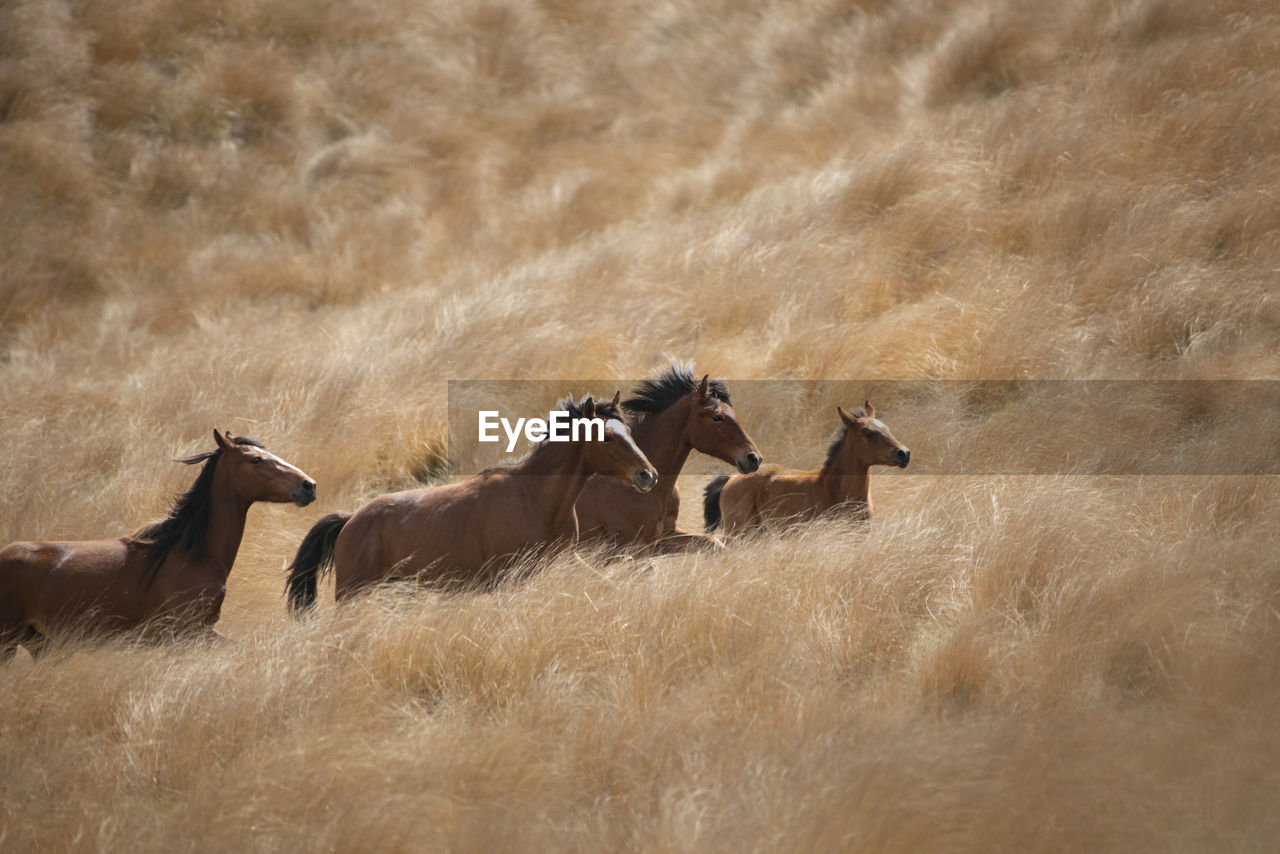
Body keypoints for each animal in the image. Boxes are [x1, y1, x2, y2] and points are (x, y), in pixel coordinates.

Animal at [285, 396, 655, 612]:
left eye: (627, 431)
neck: (537, 500)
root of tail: (351, 521)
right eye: (606, 437)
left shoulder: (567, 560)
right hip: (354, 594)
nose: (647, 475)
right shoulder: (511, 578)